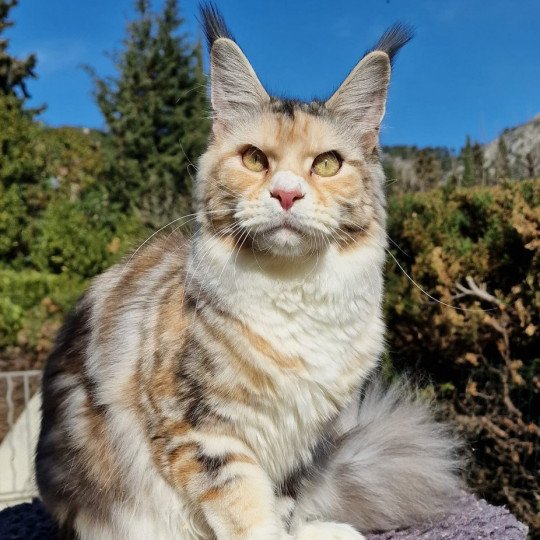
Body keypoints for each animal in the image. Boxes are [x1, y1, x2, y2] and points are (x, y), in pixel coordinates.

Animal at [35, 4, 462, 540]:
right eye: (255, 159)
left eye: (327, 164)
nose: (286, 193)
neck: (293, 294)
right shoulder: (202, 430)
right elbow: (247, 512)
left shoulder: (303, 440)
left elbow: (282, 504)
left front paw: (300, 529)